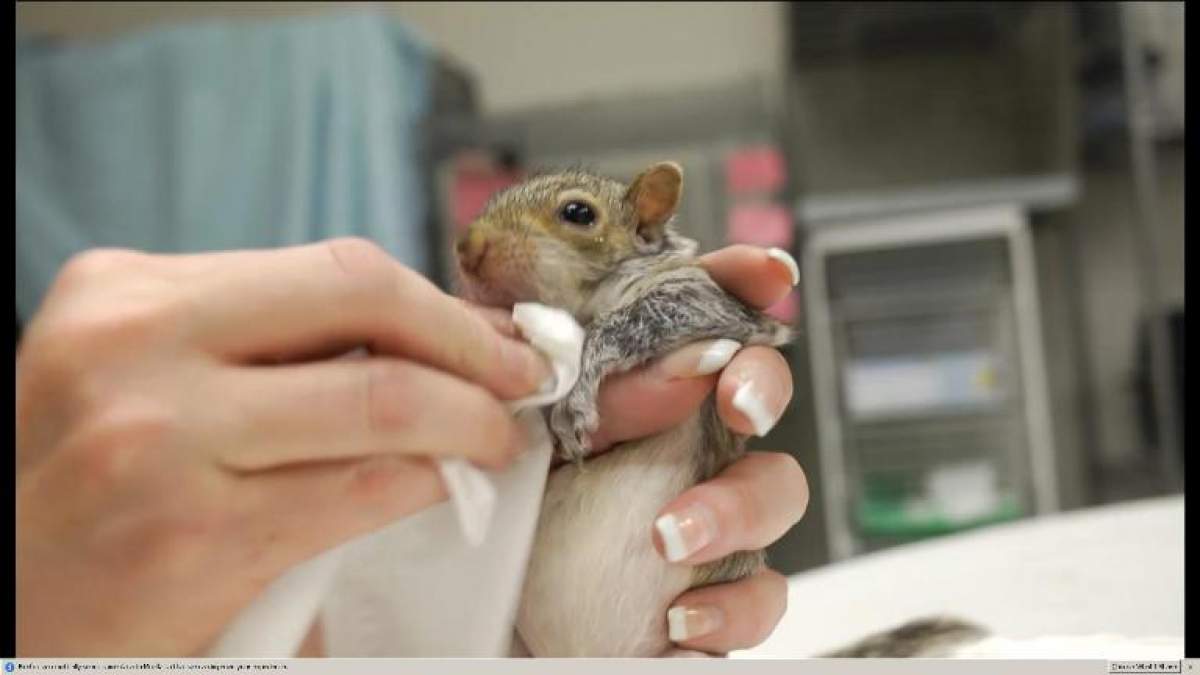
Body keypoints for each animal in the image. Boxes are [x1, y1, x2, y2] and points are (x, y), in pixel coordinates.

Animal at [453, 159, 792, 653]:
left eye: (578, 213)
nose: (466, 245)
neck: (582, 303)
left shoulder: (715, 303)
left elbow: (629, 322)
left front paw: (573, 397)